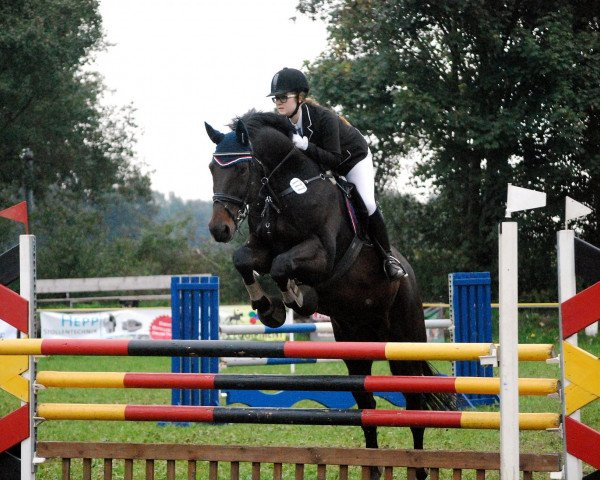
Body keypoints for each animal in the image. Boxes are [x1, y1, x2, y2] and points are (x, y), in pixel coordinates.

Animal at [206, 111, 454, 480]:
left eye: (241, 169)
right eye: (212, 167)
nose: (218, 229)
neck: (285, 189)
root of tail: (409, 273)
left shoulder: (321, 255)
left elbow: (282, 265)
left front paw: (295, 298)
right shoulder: (261, 248)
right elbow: (245, 260)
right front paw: (268, 309)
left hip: (404, 340)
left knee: (414, 402)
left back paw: (419, 469)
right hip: (355, 345)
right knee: (367, 406)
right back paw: (374, 469)